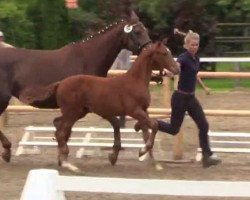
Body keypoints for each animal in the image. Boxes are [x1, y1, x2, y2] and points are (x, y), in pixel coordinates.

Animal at [0, 8, 151, 163]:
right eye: (137, 32)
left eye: (146, 30)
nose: (149, 50)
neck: (87, 59)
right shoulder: (91, 106)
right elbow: (112, 123)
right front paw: (113, 154)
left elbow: (64, 128)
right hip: (3, 98)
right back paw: (6, 151)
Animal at [20, 41, 179, 172]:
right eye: (164, 53)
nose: (176, 68)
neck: (135, 81)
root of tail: (61, 83)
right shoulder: (134, 111)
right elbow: (154, 125)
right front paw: (141, 151)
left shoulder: (143, 111)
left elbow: (147, 132)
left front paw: (152, 161)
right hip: (72, 112)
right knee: (60, 131)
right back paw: (68, 164)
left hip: (79, 112)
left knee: (58, 125)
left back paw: (62, 159)